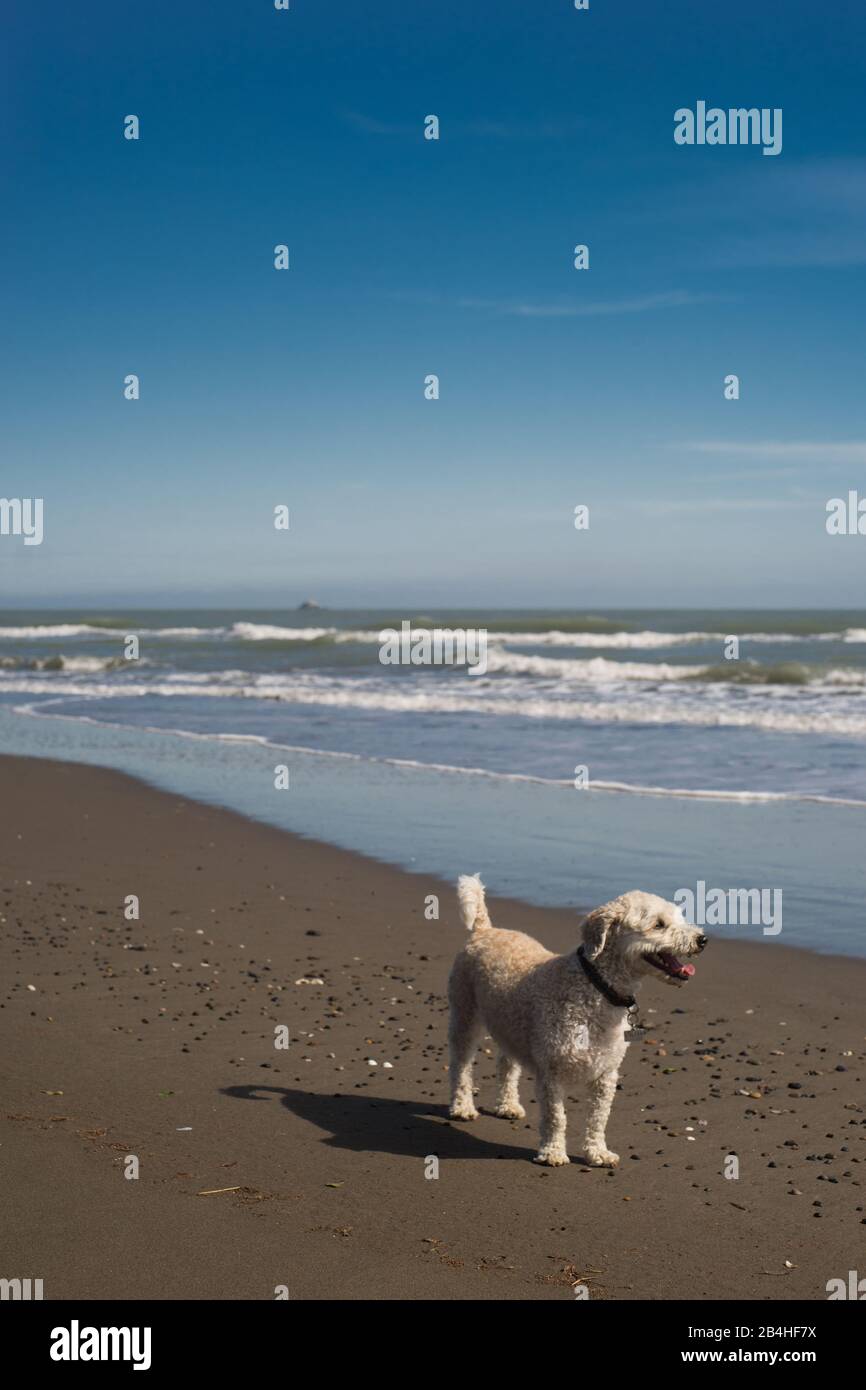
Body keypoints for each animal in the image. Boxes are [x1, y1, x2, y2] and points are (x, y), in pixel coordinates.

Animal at [450, 878, 708, 1162]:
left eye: (680, 918)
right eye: (659, 924)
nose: (702, 939)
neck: (596, 986)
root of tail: (484, 929)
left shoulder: (606, 1074)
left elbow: (599, 1118)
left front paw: (598, 1152)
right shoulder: (551, 1074)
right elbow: (556, 1118)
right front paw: (553, 1152)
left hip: (510, 1025)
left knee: (507, 1063)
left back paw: (507, 1105)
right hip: (465, 1016)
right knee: (461, 1067)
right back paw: (462, 1107)